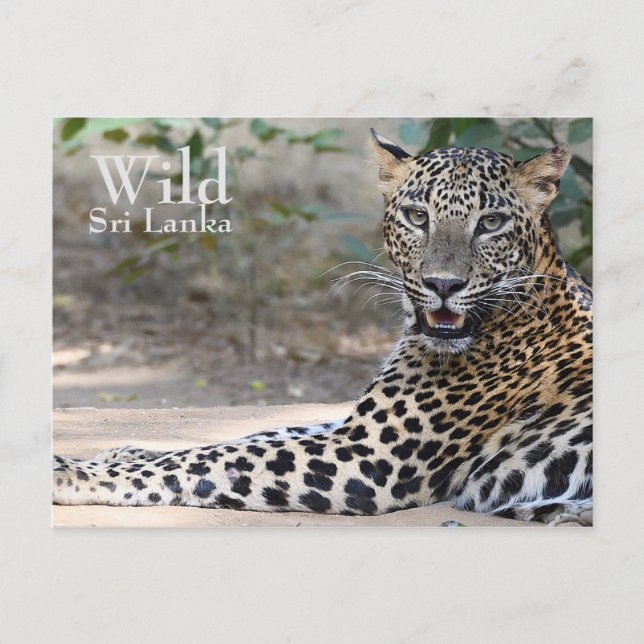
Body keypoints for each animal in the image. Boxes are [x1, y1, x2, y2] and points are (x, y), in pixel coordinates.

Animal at [53, 129, 593, 525]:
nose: (442, 284)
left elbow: (217, 458)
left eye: (491, 222)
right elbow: (250, 435)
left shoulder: (367, 456)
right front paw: (120, 452)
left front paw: (72, 472)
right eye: (418, 216)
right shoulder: (351, 428)